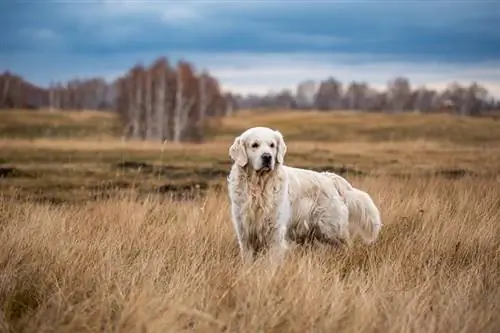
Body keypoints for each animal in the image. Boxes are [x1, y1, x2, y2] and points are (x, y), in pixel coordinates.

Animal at [228, 125, 382, 262]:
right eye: (254, 145)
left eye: (272, 145)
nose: (267, 157)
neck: (259, 187)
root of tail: (329, 178)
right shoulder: (245, 235)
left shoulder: (276, 233)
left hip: (332, 230)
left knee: (346, 245)